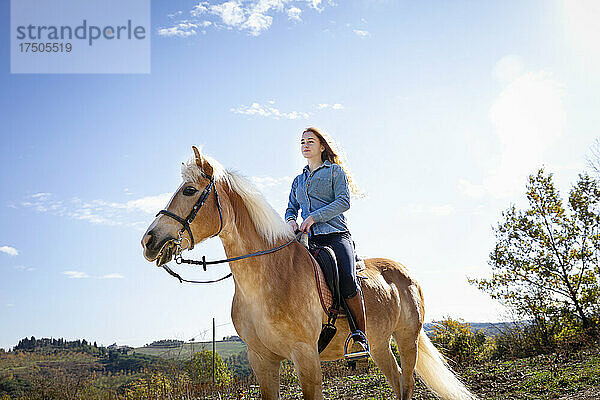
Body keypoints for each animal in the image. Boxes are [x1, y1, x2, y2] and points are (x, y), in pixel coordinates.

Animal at [142, 148, 478, 400]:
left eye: (189, 191)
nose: (149, 241)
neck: (267, 280)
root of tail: (406, 273)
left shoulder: (305, 357)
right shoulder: (261, 360)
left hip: (407, 339)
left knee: (406, 383)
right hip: (380, 343)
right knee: (396, 381)